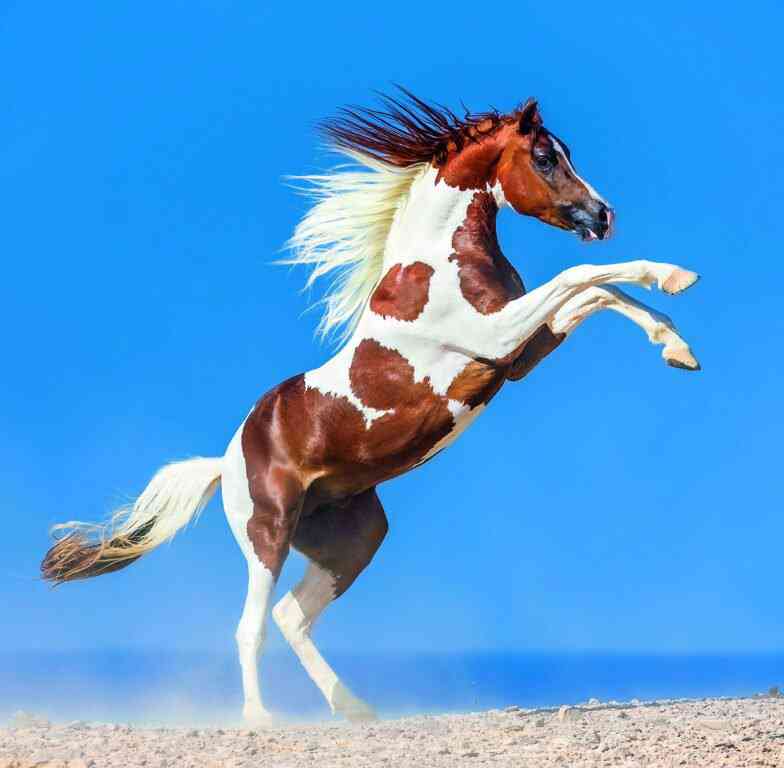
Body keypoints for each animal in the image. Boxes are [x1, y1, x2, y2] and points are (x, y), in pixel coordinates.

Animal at [41, 89, 700, 726]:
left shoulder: (518, 352)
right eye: (544, 157)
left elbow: (597, 294)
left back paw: (352, 707)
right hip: (267, 533)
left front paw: (677, 346)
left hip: (353, 539)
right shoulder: (494, 339)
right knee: (251, 627)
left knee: (291, 616)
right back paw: (259, 718)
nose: (603, 215)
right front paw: (674, 276)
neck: (435, 264)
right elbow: (583, 275)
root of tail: (225, 461)